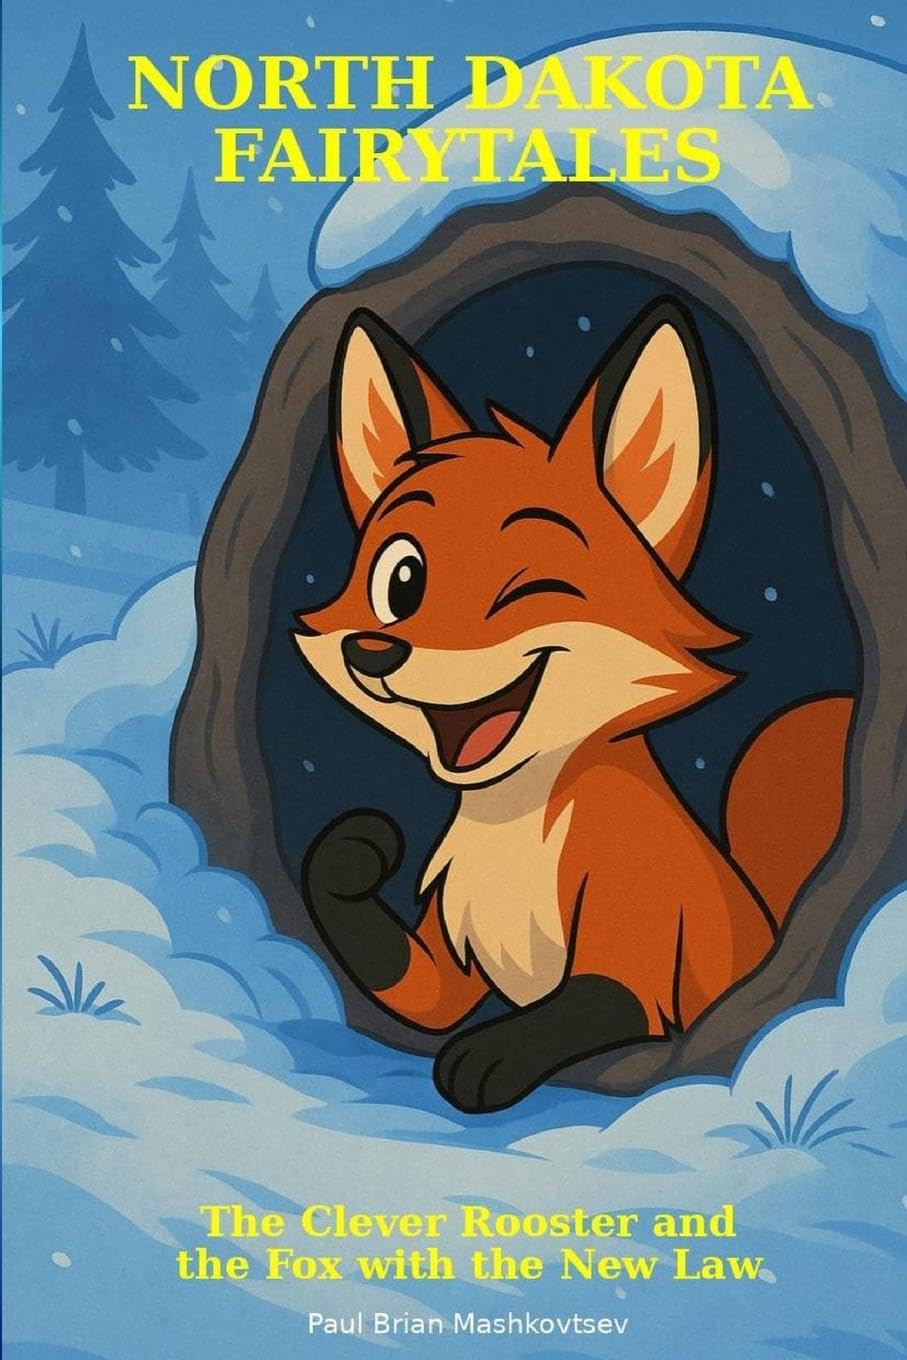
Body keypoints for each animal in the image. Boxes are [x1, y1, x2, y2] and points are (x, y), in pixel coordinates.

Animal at [294, 297, 852, 1113]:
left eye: (524, 590)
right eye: (400, 582)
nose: (375, 653)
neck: (515, 823)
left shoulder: (638, 941)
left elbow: (583, 1006)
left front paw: (488, 1058)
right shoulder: (440, 965)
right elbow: (391, 957)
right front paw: (354, 850)